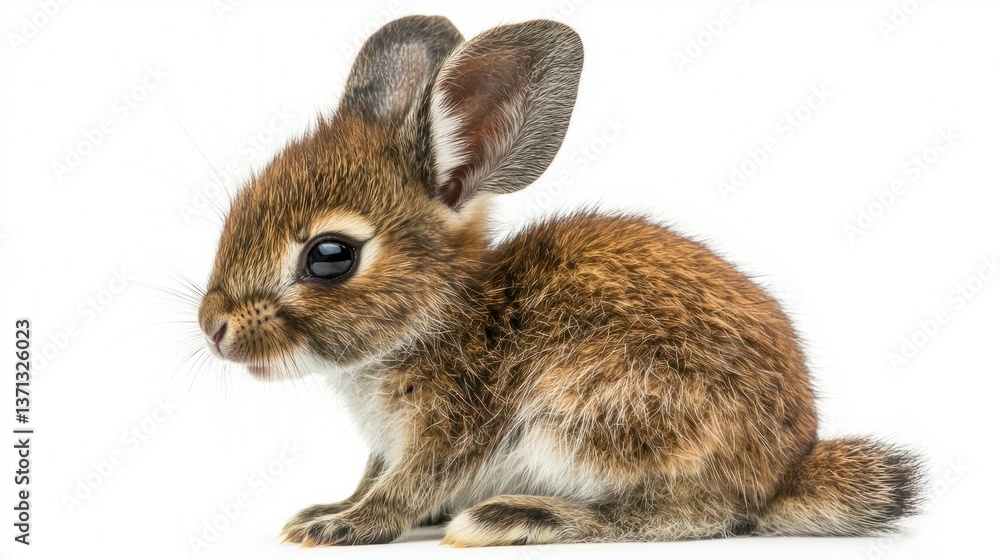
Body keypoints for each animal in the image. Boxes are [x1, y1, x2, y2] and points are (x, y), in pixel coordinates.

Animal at [196, 15, 924, 547]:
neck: (438, 316)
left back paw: (518, 517)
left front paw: (344, 525)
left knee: (687, 513)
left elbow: (411, 485)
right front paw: (325, 508)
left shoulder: (456, 425)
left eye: (330, 256)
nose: (214, 327)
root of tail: (784, 472)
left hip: (599, 413)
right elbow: (374, 475)